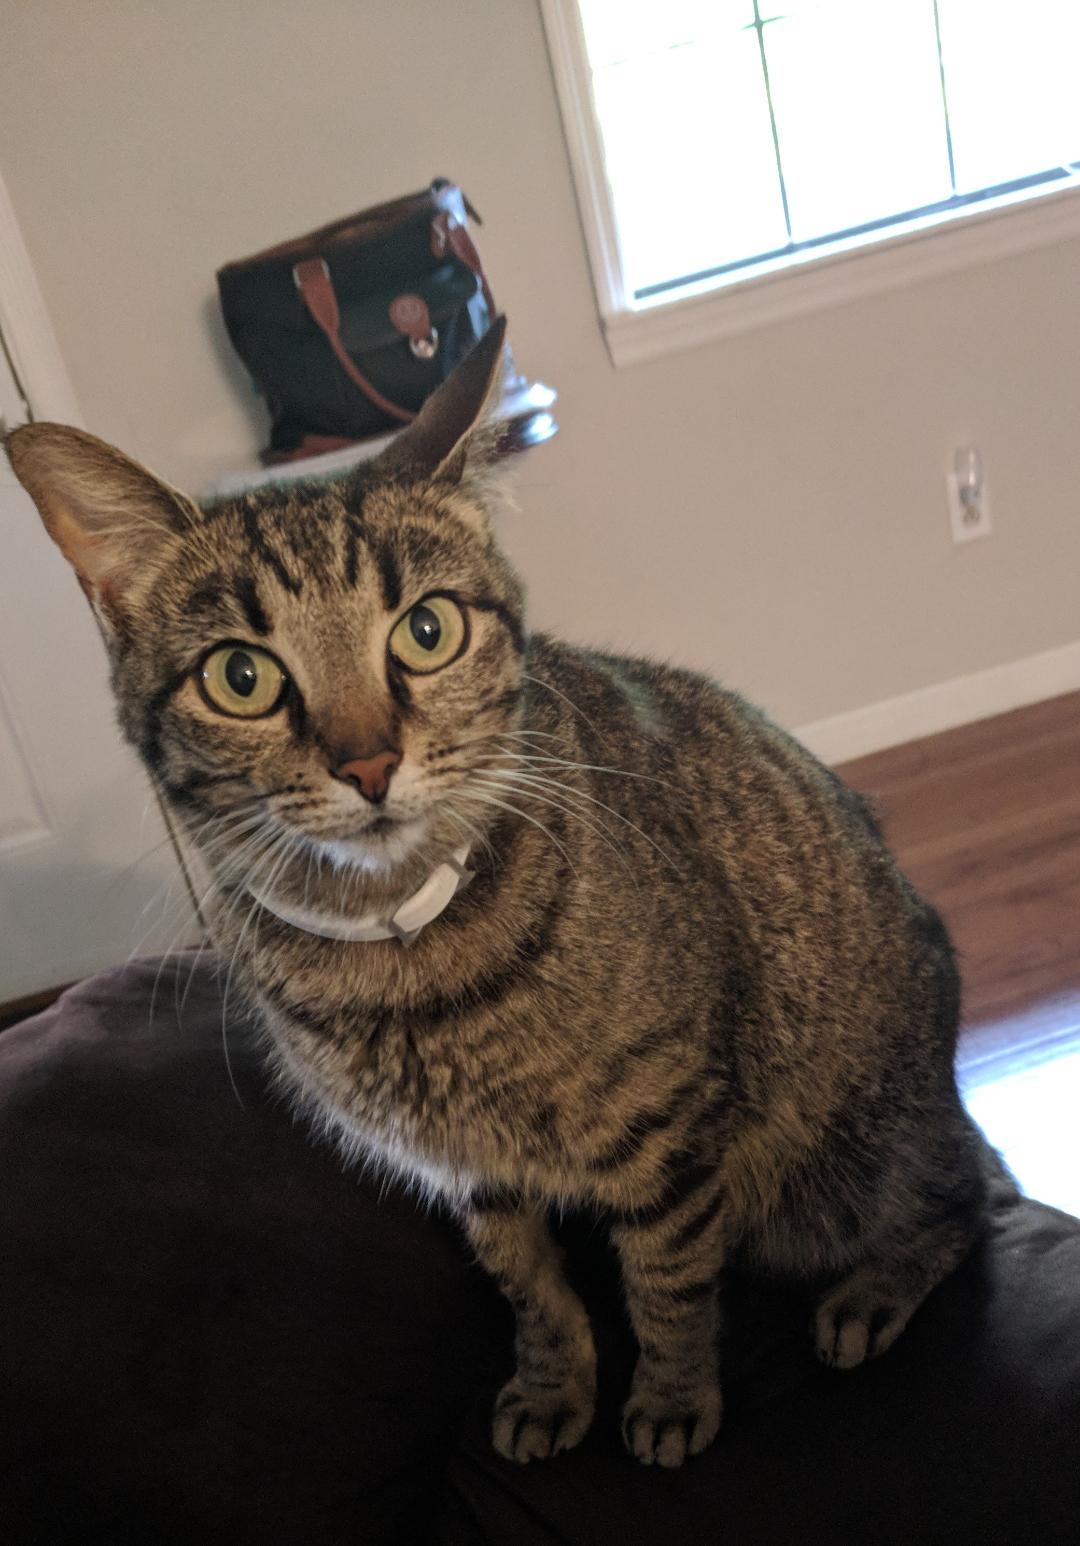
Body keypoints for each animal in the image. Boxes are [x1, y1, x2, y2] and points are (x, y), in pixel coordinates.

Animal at [6, 317, 1006, 1469]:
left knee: (968, 1190)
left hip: (848, 1164)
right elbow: (534, 1294)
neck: (401, 956)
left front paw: (670, 1400)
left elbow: (666, 1289)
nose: (368, 763)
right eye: (241, 678)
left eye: (426, 630)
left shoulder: (669, 1138)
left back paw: (873, 1292)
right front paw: (553, 1385)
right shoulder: (472, 1179)